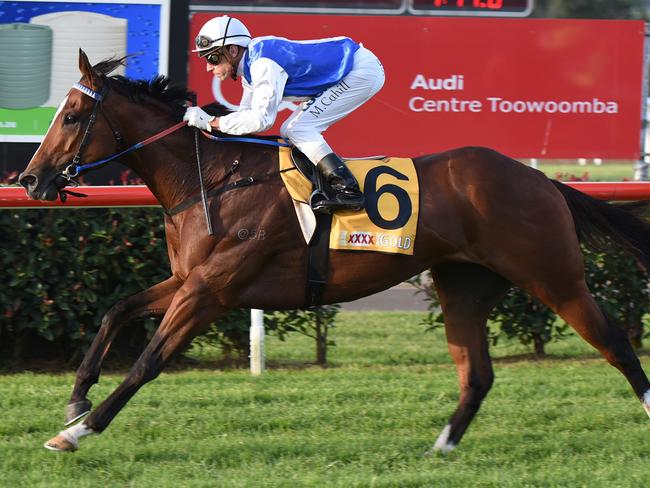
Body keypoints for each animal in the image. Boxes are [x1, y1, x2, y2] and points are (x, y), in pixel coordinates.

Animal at [19, 51, 648, 452]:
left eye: (71, 116)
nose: (30, 180)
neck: (214, 178)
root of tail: (541, 179)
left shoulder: (211, 291)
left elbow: (148, 361)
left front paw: (76, 432)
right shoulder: (187, 280)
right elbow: (114, 311)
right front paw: (75, 401)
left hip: (554, 276)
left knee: (616, 345)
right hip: (464, 284)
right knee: (477, 375)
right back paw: (438, 449)